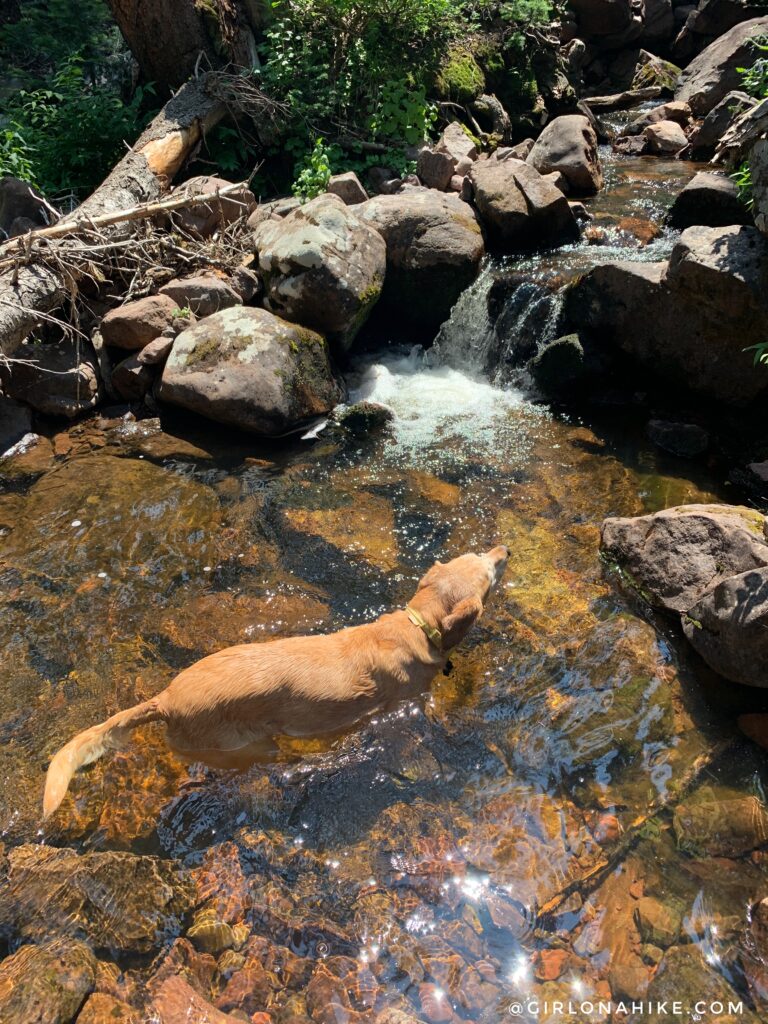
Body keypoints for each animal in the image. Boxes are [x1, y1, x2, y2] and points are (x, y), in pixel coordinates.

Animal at [43, 548, 512, 819]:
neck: (417, 625)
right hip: (245, 745)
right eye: (490, 570)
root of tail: (165, 698)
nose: (503, 548)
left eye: (478, 552)